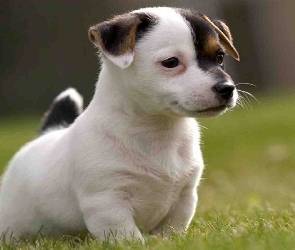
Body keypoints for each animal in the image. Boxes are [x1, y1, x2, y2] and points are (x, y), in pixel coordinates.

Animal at [0, 6, 239, 243]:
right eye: (171, 62)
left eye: (220, 56)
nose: (227, 88)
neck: (158, 130)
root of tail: (45, 134)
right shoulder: (107, 202)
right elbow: (128, 237)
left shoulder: (184, 197)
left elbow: (172, 230)